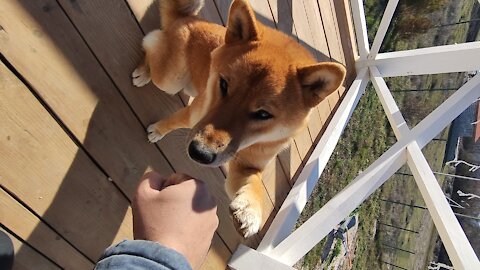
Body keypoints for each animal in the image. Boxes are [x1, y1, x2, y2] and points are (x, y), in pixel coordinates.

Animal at [132, 0, 344, 236]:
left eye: (263, 114)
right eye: (224, 84)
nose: (199, 153)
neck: (251, 144)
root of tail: (188, 19)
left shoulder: (248, 166)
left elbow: (254, 185)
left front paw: (250, 211)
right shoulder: (192, 116)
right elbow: (172, 122)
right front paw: (158, 130)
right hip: (169, 80)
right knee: (151, 44)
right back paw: (143, 72)